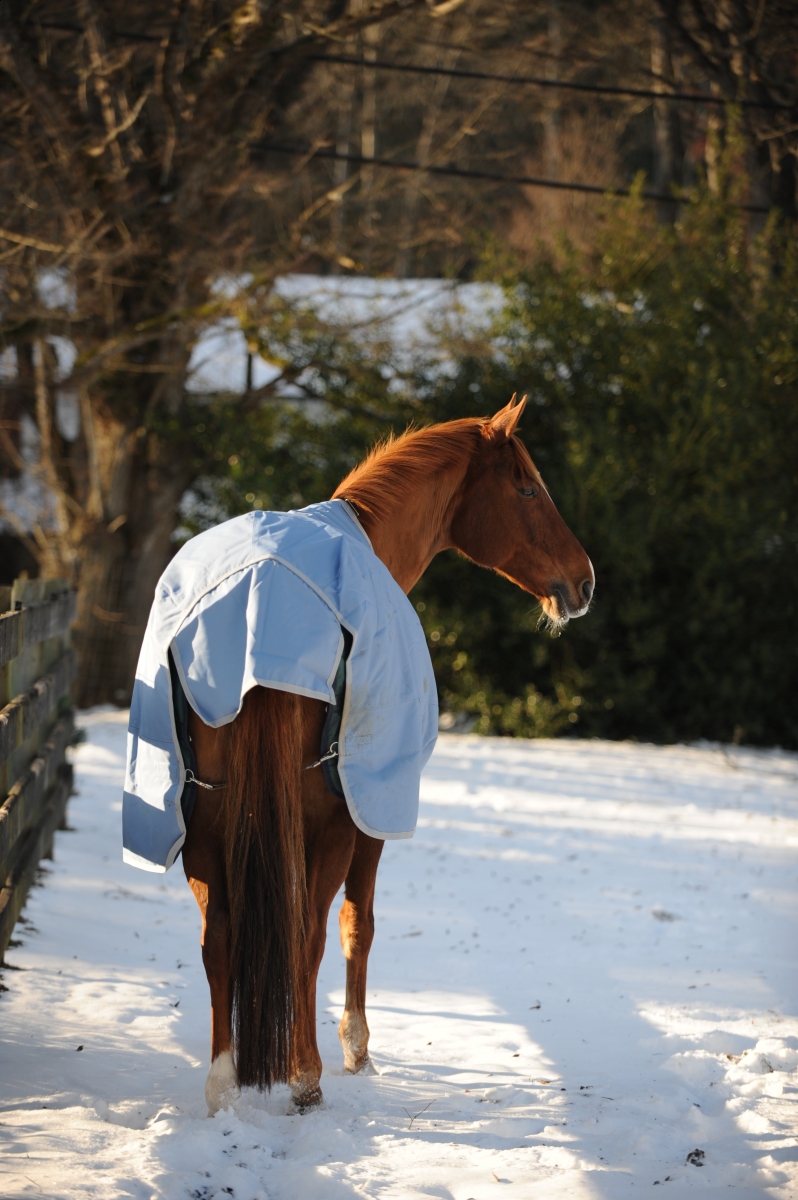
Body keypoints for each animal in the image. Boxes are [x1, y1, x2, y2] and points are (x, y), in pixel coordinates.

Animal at [180, 395, 594, 1114]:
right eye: (527, 487)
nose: (584, 580)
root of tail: (259, 611)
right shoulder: (367, 818)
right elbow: (358, 924)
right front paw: (355, 1046)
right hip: (324, 826)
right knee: (308, 935)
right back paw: (307, 1076)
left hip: (205, 823)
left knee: (219, 940)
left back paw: (225, 1083)